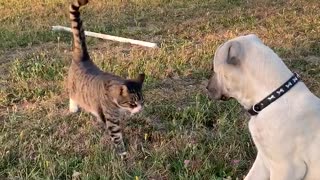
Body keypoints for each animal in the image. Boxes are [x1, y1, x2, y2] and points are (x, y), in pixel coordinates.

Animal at [67, 0, 145, 156]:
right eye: (133, 103)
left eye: (141, 102)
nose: (139, 109)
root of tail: (83, 57)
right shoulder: (111, 118)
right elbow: (116, 136)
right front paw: (122, 153)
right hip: (73, 87)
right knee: (72, 95)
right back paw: (73, 108)